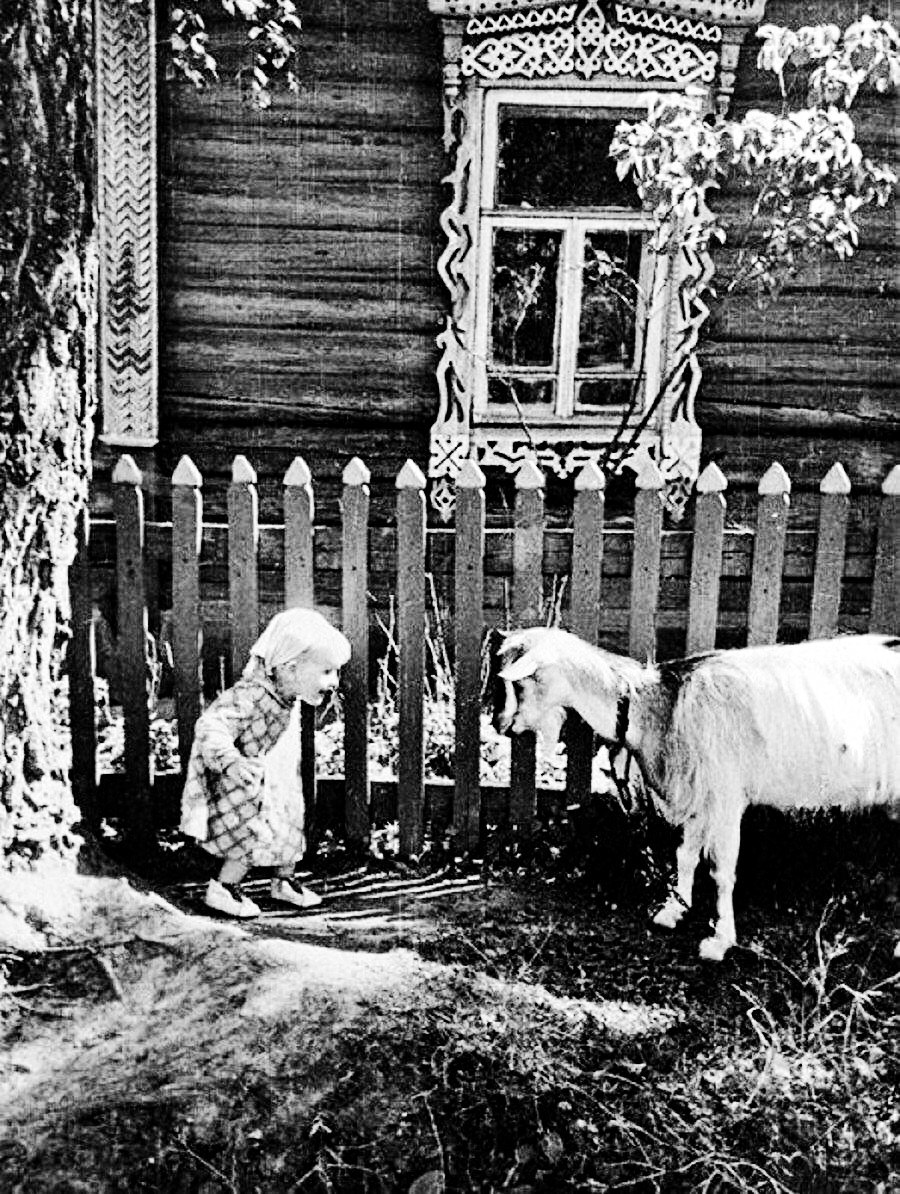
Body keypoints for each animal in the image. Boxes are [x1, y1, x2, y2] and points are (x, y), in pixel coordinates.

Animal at [498, 630, 897, 964]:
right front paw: (673, 909)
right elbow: (686, 855)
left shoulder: (725, 795)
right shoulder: (698, 795)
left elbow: (722, 870)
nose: (500, 725)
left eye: (521, 683)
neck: (659, 706)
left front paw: (720, 941)